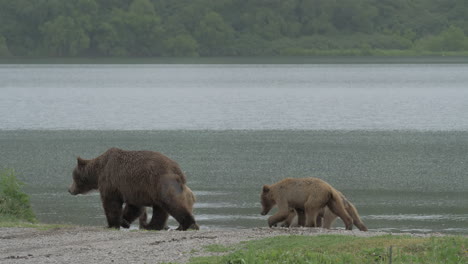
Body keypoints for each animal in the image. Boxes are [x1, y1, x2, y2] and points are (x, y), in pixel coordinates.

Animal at [67, 147, 197, 230]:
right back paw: (152, 226)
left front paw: (112, 224)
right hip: (155, 188)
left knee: (171, 203)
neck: (98, 172)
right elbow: (134, 207)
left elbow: (111, 203)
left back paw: (188, 225)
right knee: (160, 208)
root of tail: (178, 169)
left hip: (160, 182)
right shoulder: (135, 189)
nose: (69, 189)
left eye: (73, 176)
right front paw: (124, 221)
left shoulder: (110, 181)